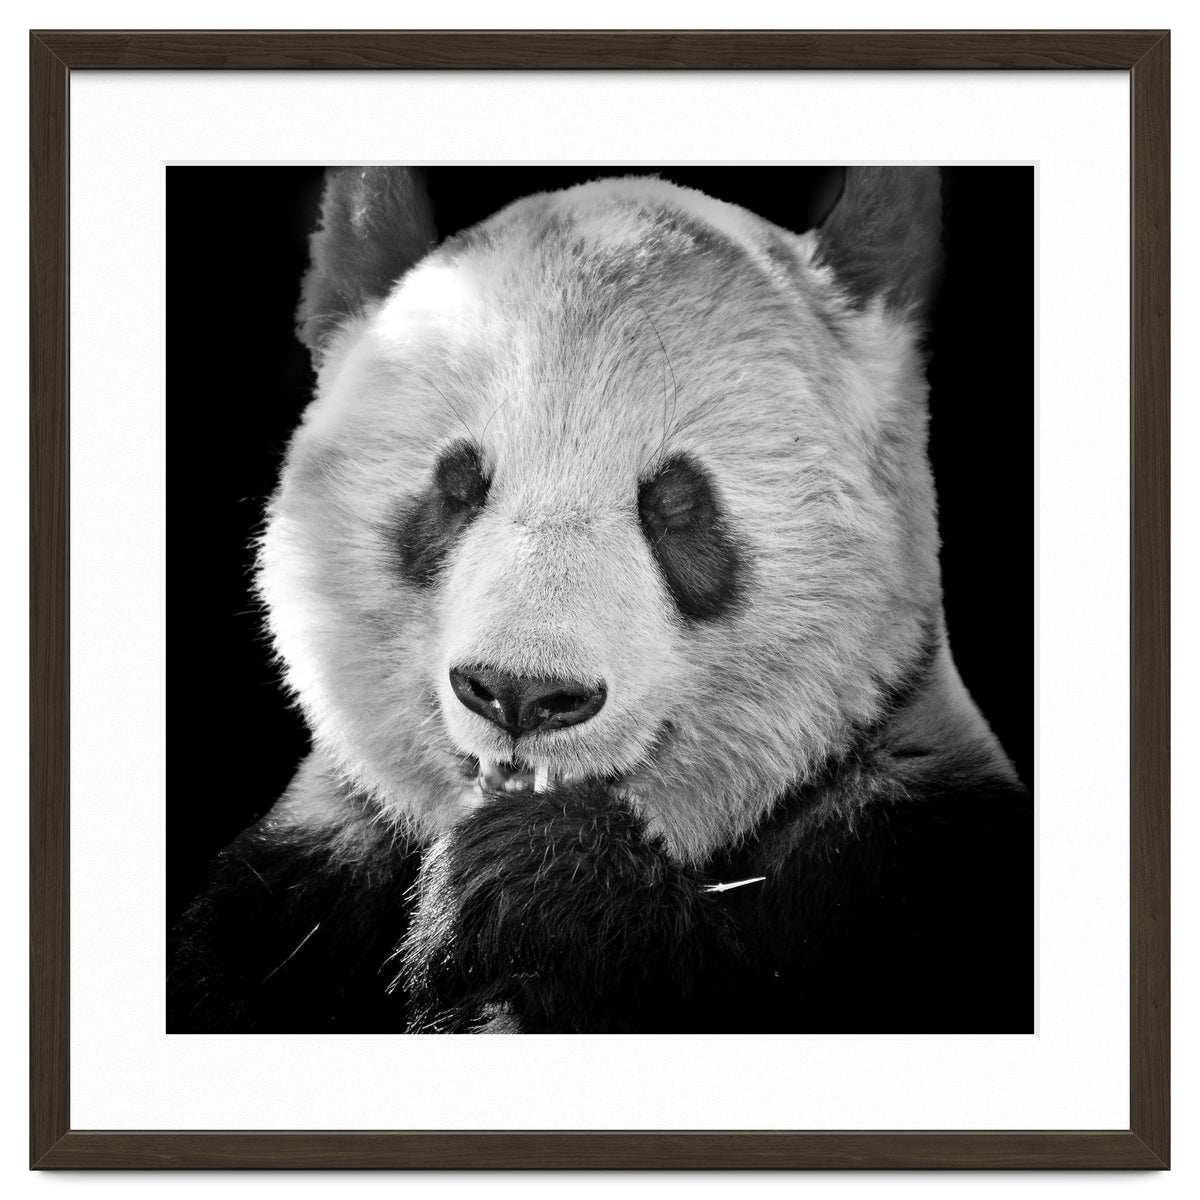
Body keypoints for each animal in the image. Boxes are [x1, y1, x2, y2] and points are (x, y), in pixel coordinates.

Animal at [168, 166, 1032, 1035]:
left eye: (677, 504)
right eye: (457, 486)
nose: (521, 693)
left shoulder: (908, 856)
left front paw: (537, 881)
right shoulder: (295, 889)